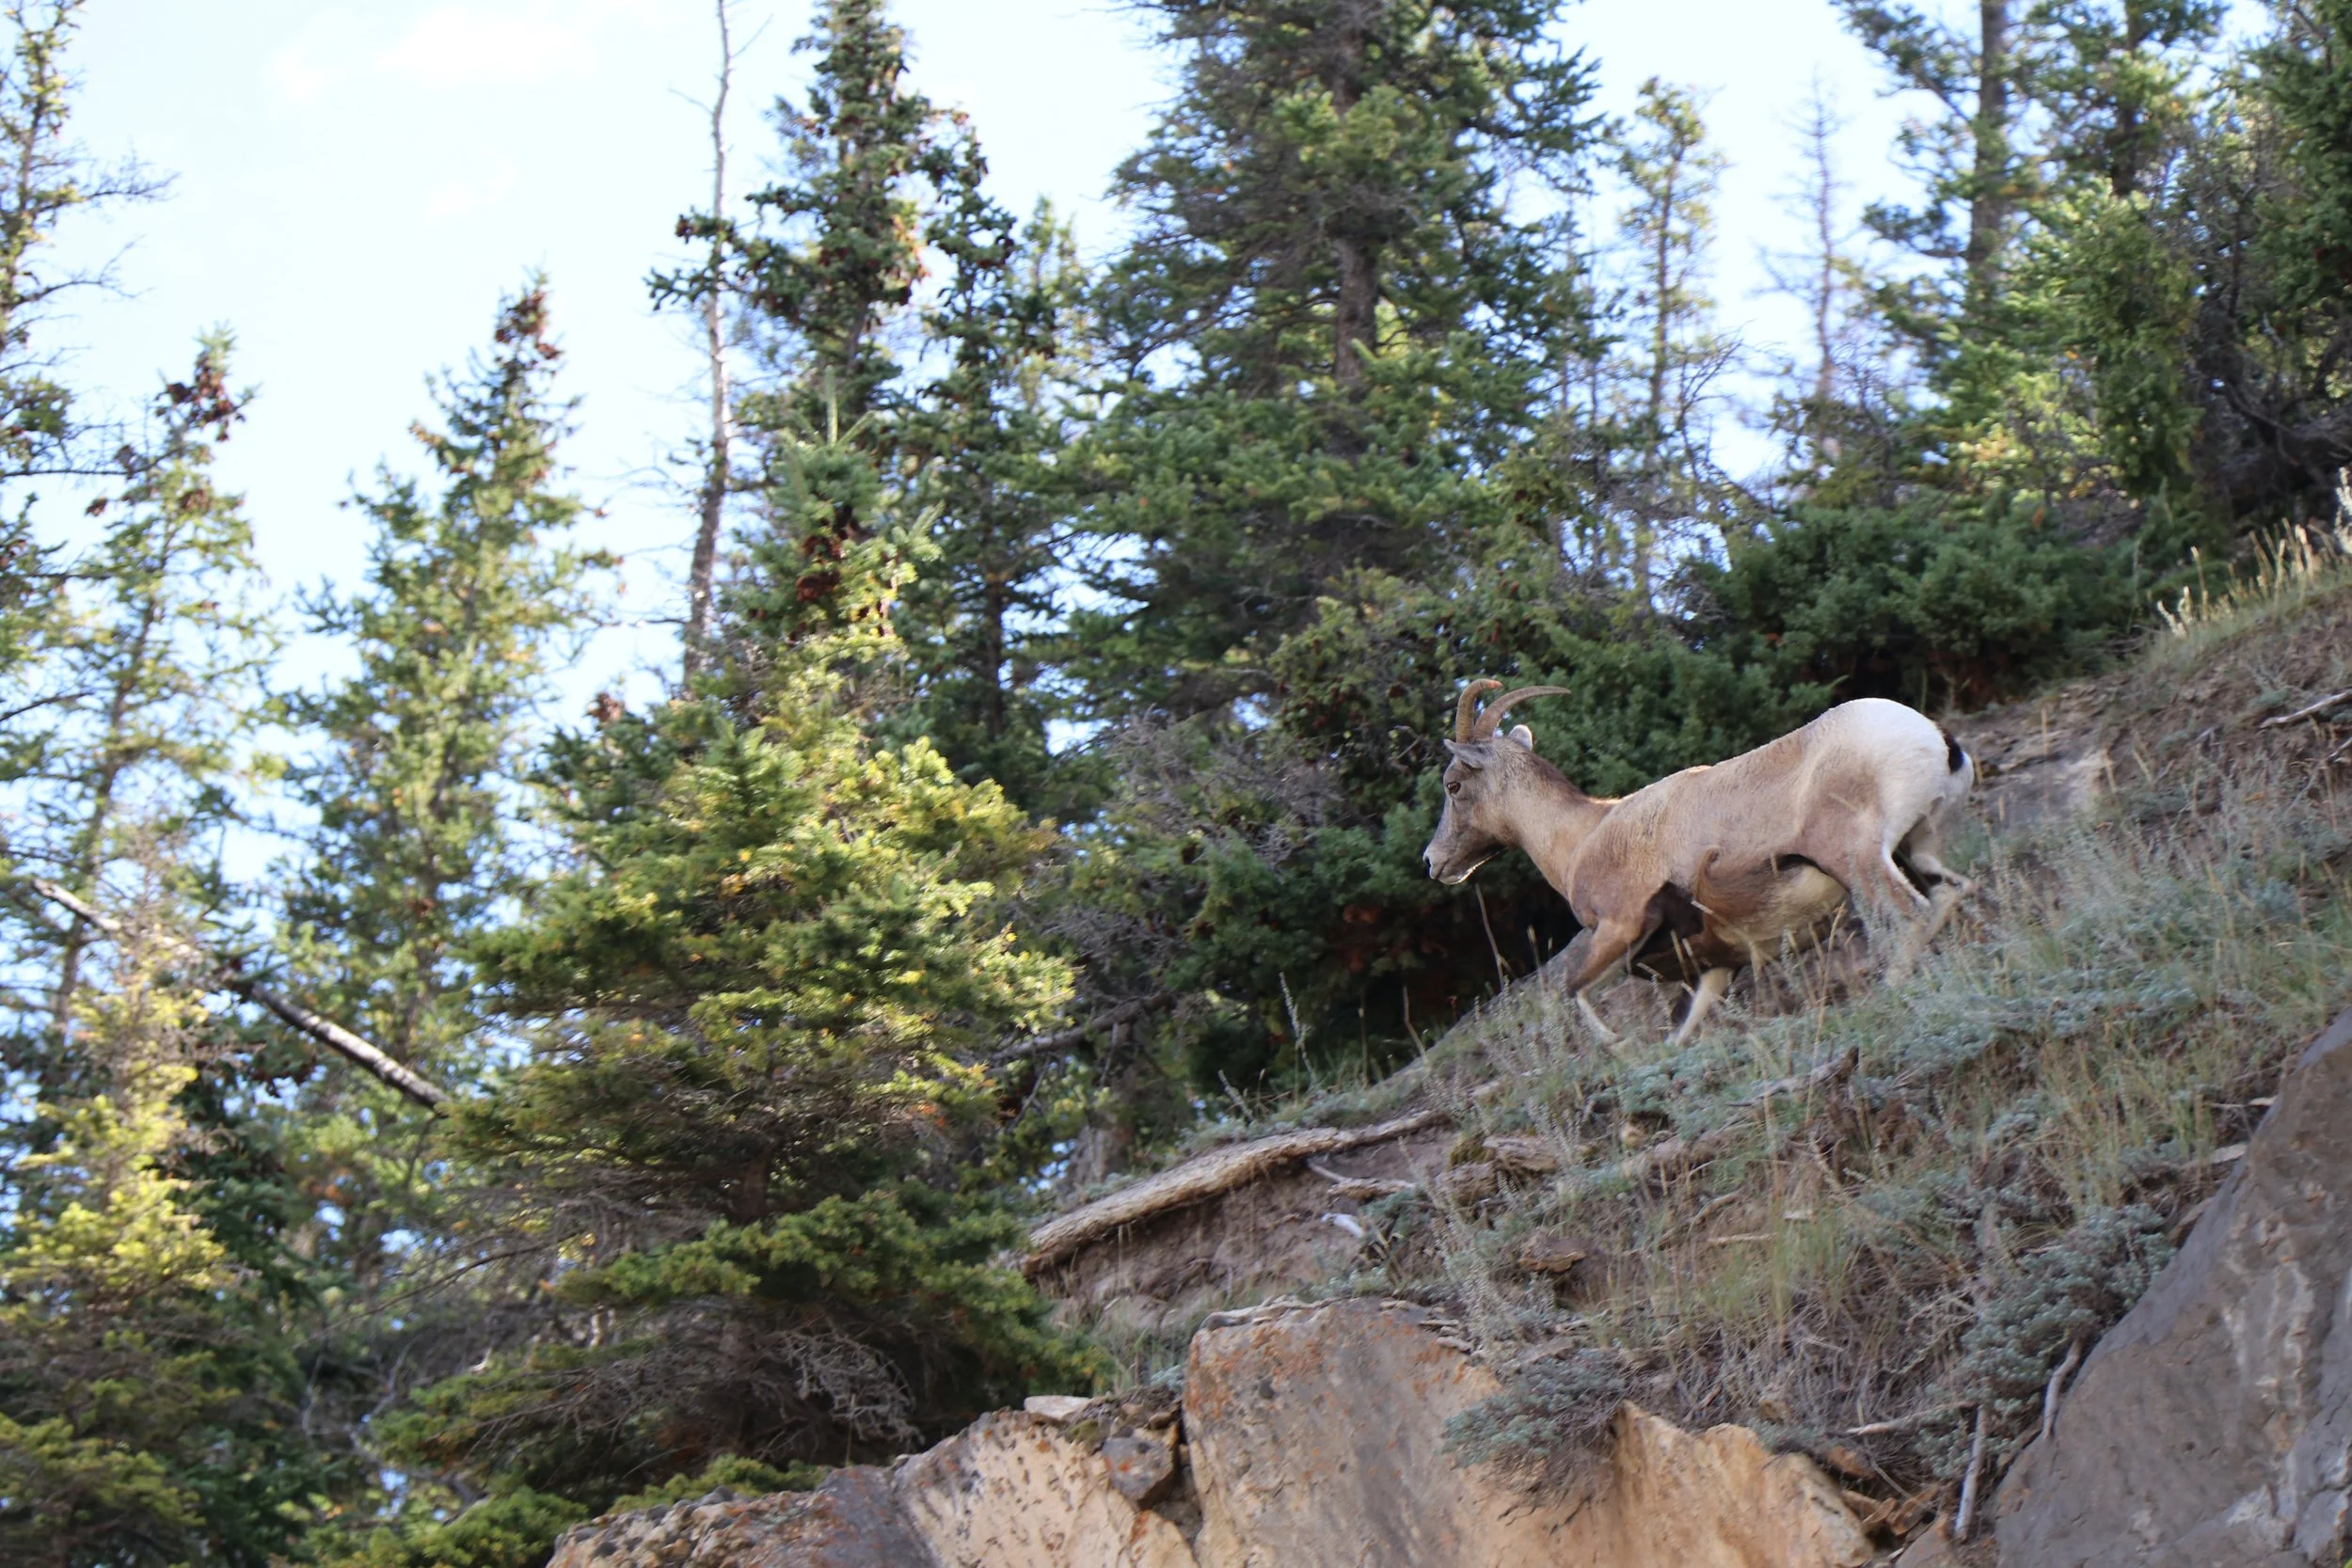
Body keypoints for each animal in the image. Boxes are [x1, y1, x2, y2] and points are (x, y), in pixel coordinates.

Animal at [1423, 681, 1974, 1046]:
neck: (1584, 837)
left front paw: (1618, 1047)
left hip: (1859, 862)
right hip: (1919, 849)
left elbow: (1573, 990)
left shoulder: (1619, 928)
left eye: (1454, 784)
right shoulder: (1714, 964)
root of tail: (1930, 738)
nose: (1434, 861)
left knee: (1914, 913)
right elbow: (1683, 1029)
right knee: (1950, 892)